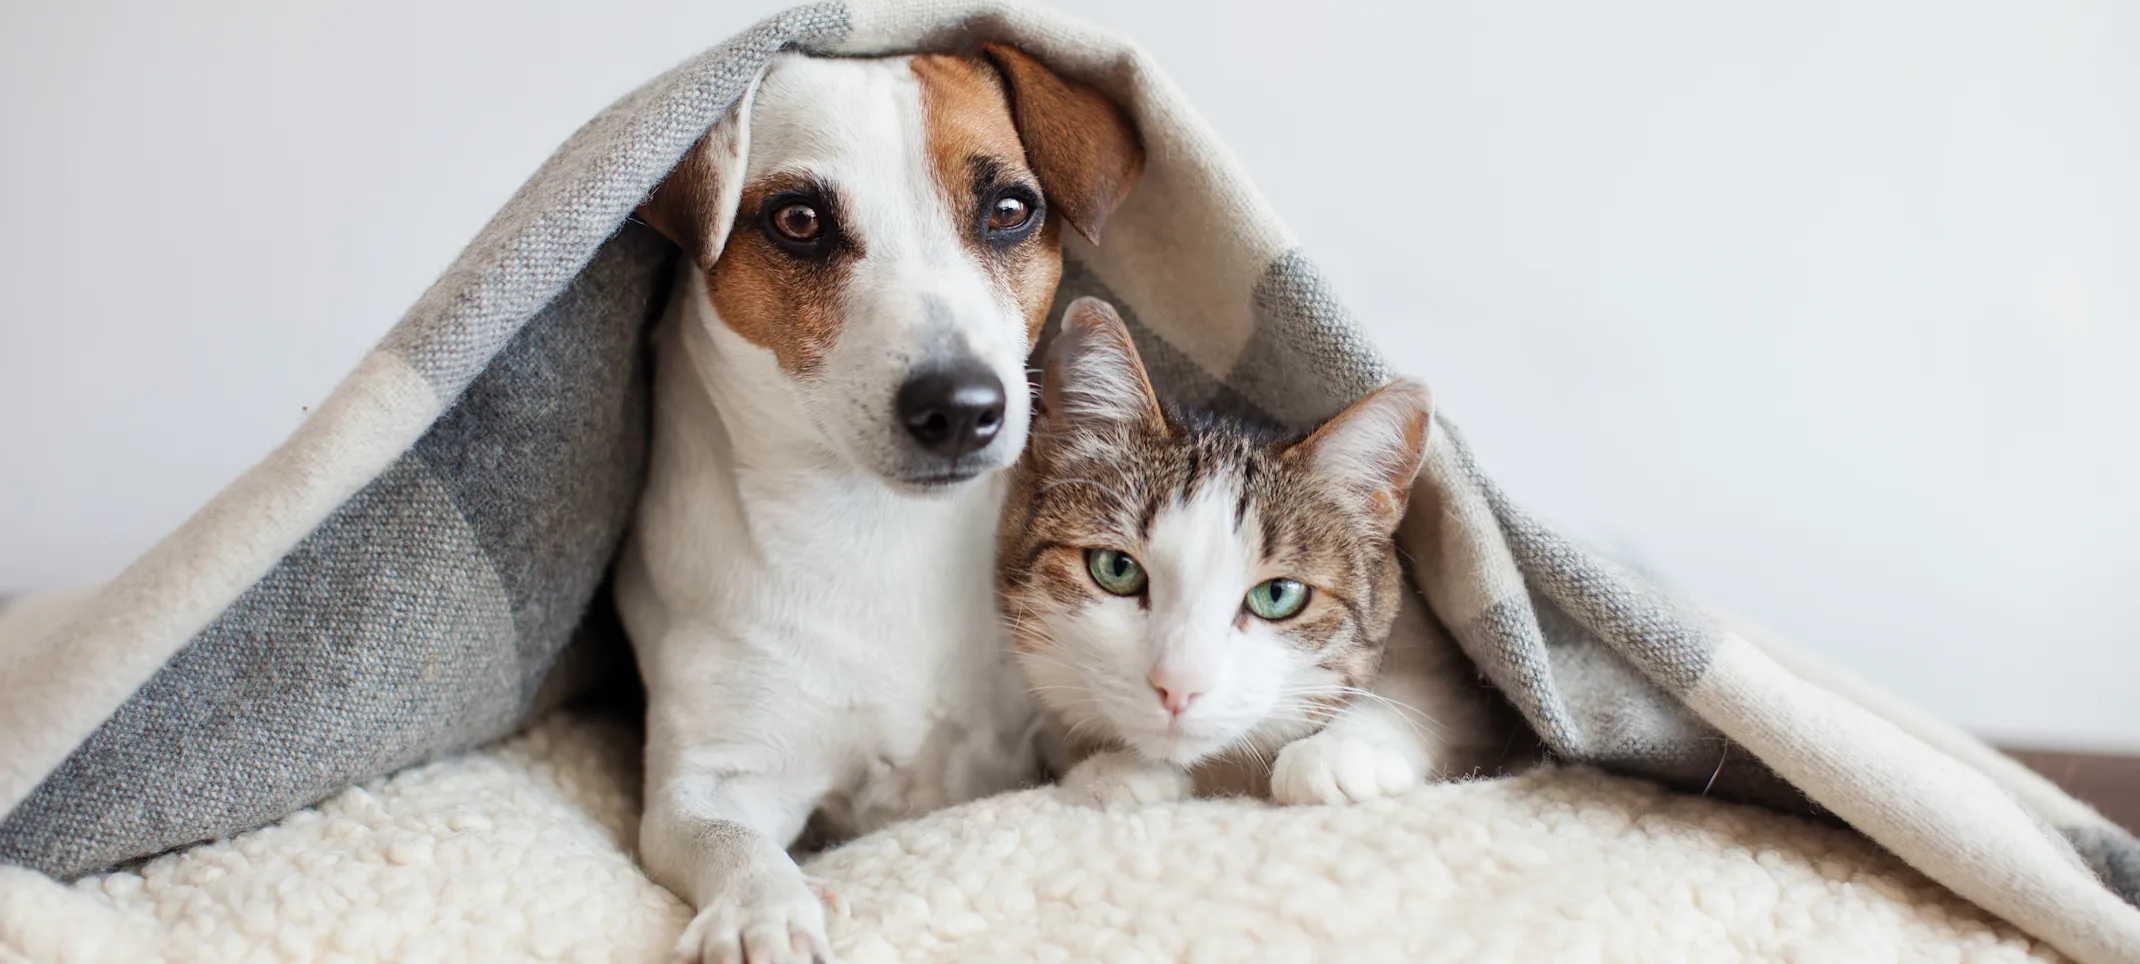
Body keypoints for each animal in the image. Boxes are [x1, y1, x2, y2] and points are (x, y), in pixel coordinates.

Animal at [612, 45, 1147, 964]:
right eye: (798, 221)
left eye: (1010, 210)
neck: (878, 533)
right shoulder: (712, 777)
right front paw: (762, 910)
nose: (961, 408)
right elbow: (727, 839)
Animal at [997, 297, 1506, 809]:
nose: (1179, 686)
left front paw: (1341, 751)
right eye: (1116, 568)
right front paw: (1113, 770)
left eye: (1279, 594)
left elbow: (1429, 696)